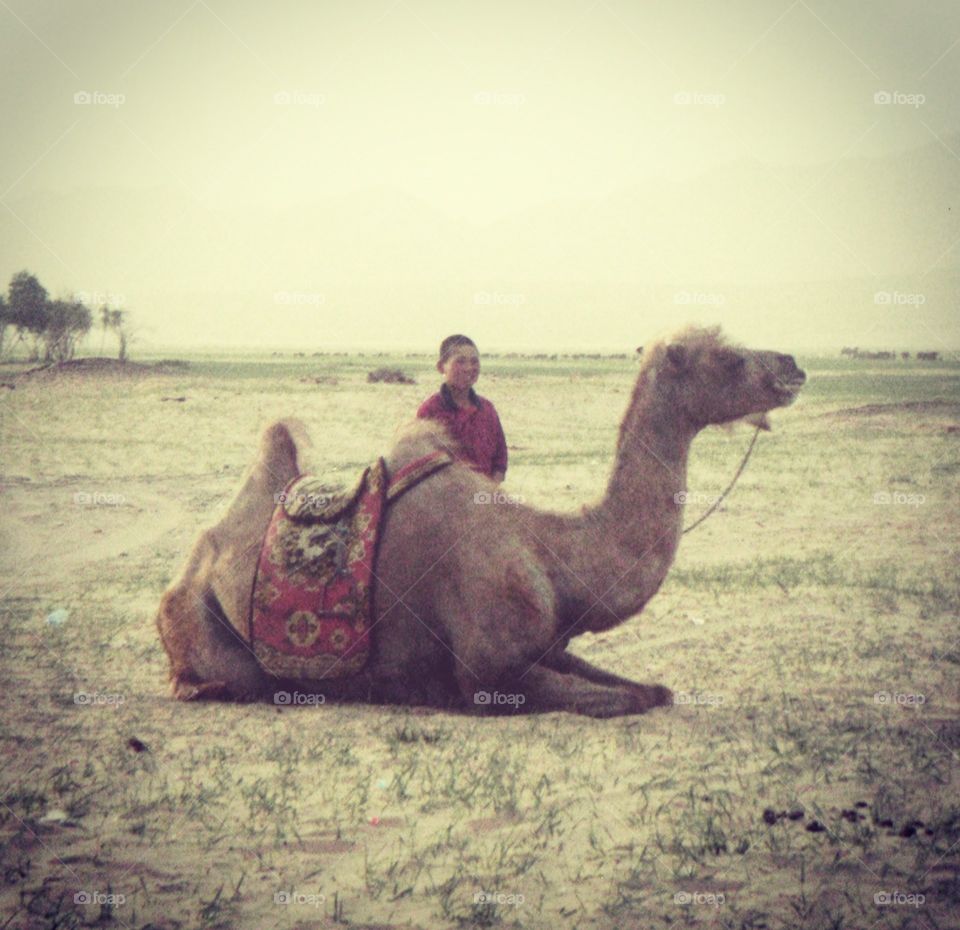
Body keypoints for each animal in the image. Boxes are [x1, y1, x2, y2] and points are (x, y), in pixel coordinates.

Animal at [156, 326, 805, 717]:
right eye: (727, 356)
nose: (794, 364)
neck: (552, 553)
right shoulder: (489, 674)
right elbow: (630, 699)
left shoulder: (549, 644)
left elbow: (650, 689)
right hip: (215, 640)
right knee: (229, 680)